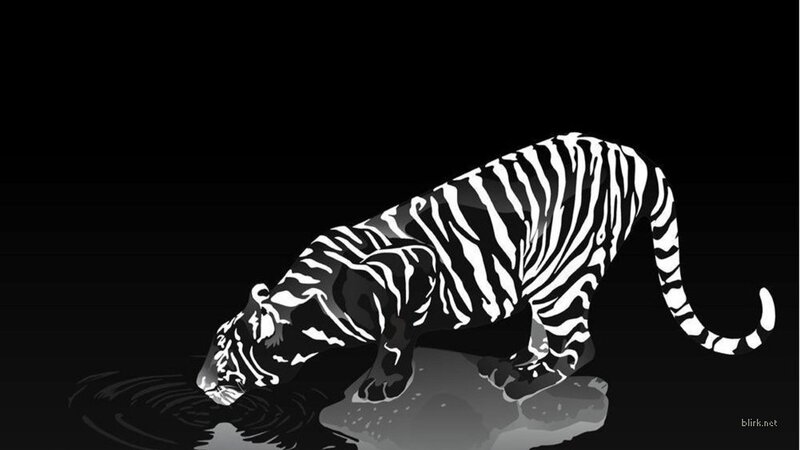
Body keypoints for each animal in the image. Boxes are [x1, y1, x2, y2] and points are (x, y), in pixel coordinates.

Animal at [196, 132, 776, 406]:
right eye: (214, 341)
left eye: (226, 357)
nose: (200, 385)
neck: (308, 303)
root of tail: (630, 153)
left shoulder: (414, 270)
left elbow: (396, 337)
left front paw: (384, 384)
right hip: (546, 277)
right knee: (550, 335)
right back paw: (512, 364)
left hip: (561, 278)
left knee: (581, 345)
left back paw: (523, 383)